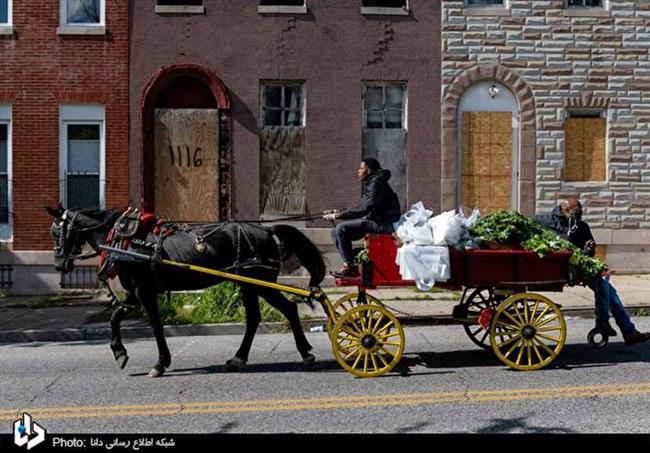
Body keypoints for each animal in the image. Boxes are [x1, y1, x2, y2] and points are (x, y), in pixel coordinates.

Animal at [46, 206, 324, 378]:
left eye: (58, 232)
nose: (59, 264)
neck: (124, 241)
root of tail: (267, 230)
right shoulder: (136, 291)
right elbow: (115, 317)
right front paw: (120, 352)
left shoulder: (145, 290)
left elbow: (156, 326)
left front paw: (159, 363)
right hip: (249, 284)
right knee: (257, 317)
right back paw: (238, 359)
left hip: (258, 282)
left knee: (287, 309)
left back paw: (305, 355)